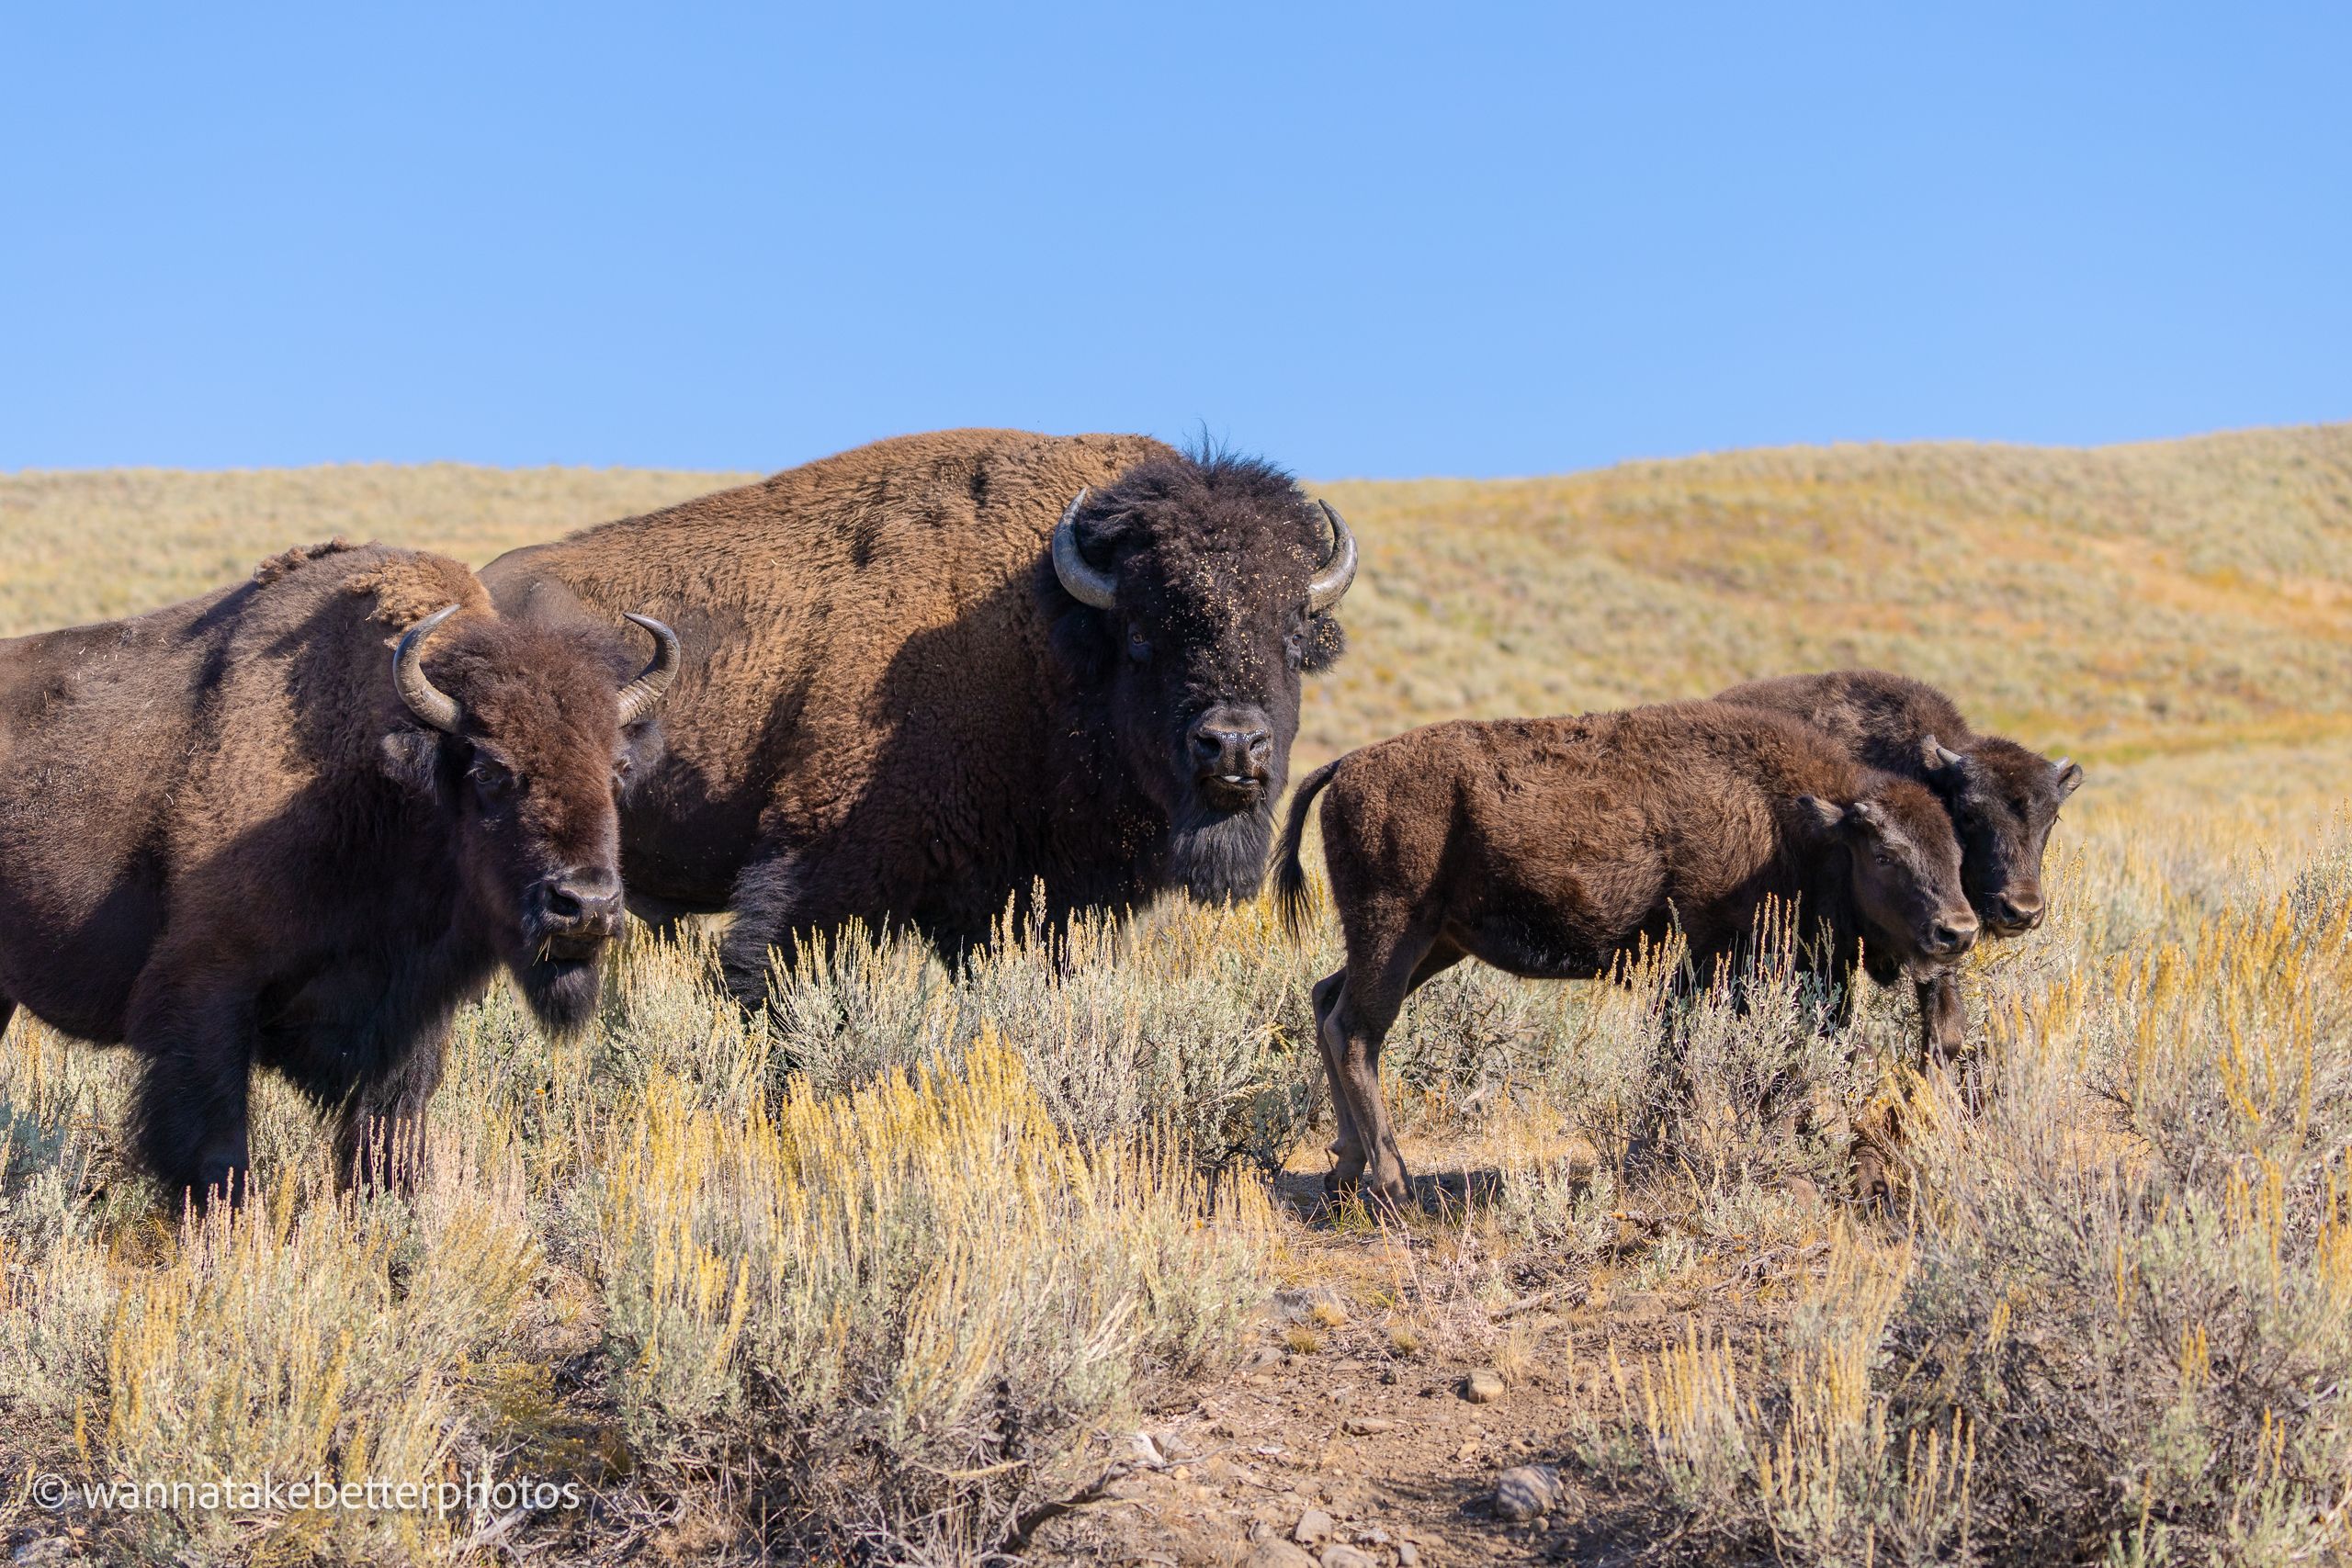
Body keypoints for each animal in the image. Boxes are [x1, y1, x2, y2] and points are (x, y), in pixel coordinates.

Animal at [0, 540, 677, 1204]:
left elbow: (389, 1132)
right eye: (489, 769)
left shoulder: (411, 1012)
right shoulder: (207, 990)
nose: (586, 905)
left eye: (618, 768)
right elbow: (219, 1152)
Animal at [1273, 702, 1977, 1204]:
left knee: (1326, 999)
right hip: (1394, 932)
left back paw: (1345, 1170)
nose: (1958, 930)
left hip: (1432, 943)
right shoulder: (1695, 974)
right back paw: (1393, 1184)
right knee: (1356, 1031)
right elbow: (1677, 1065)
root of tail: (1346, 765)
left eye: (1955, 850)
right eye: (1883, 853)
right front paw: (1655, 1158)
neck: (1796, 825)